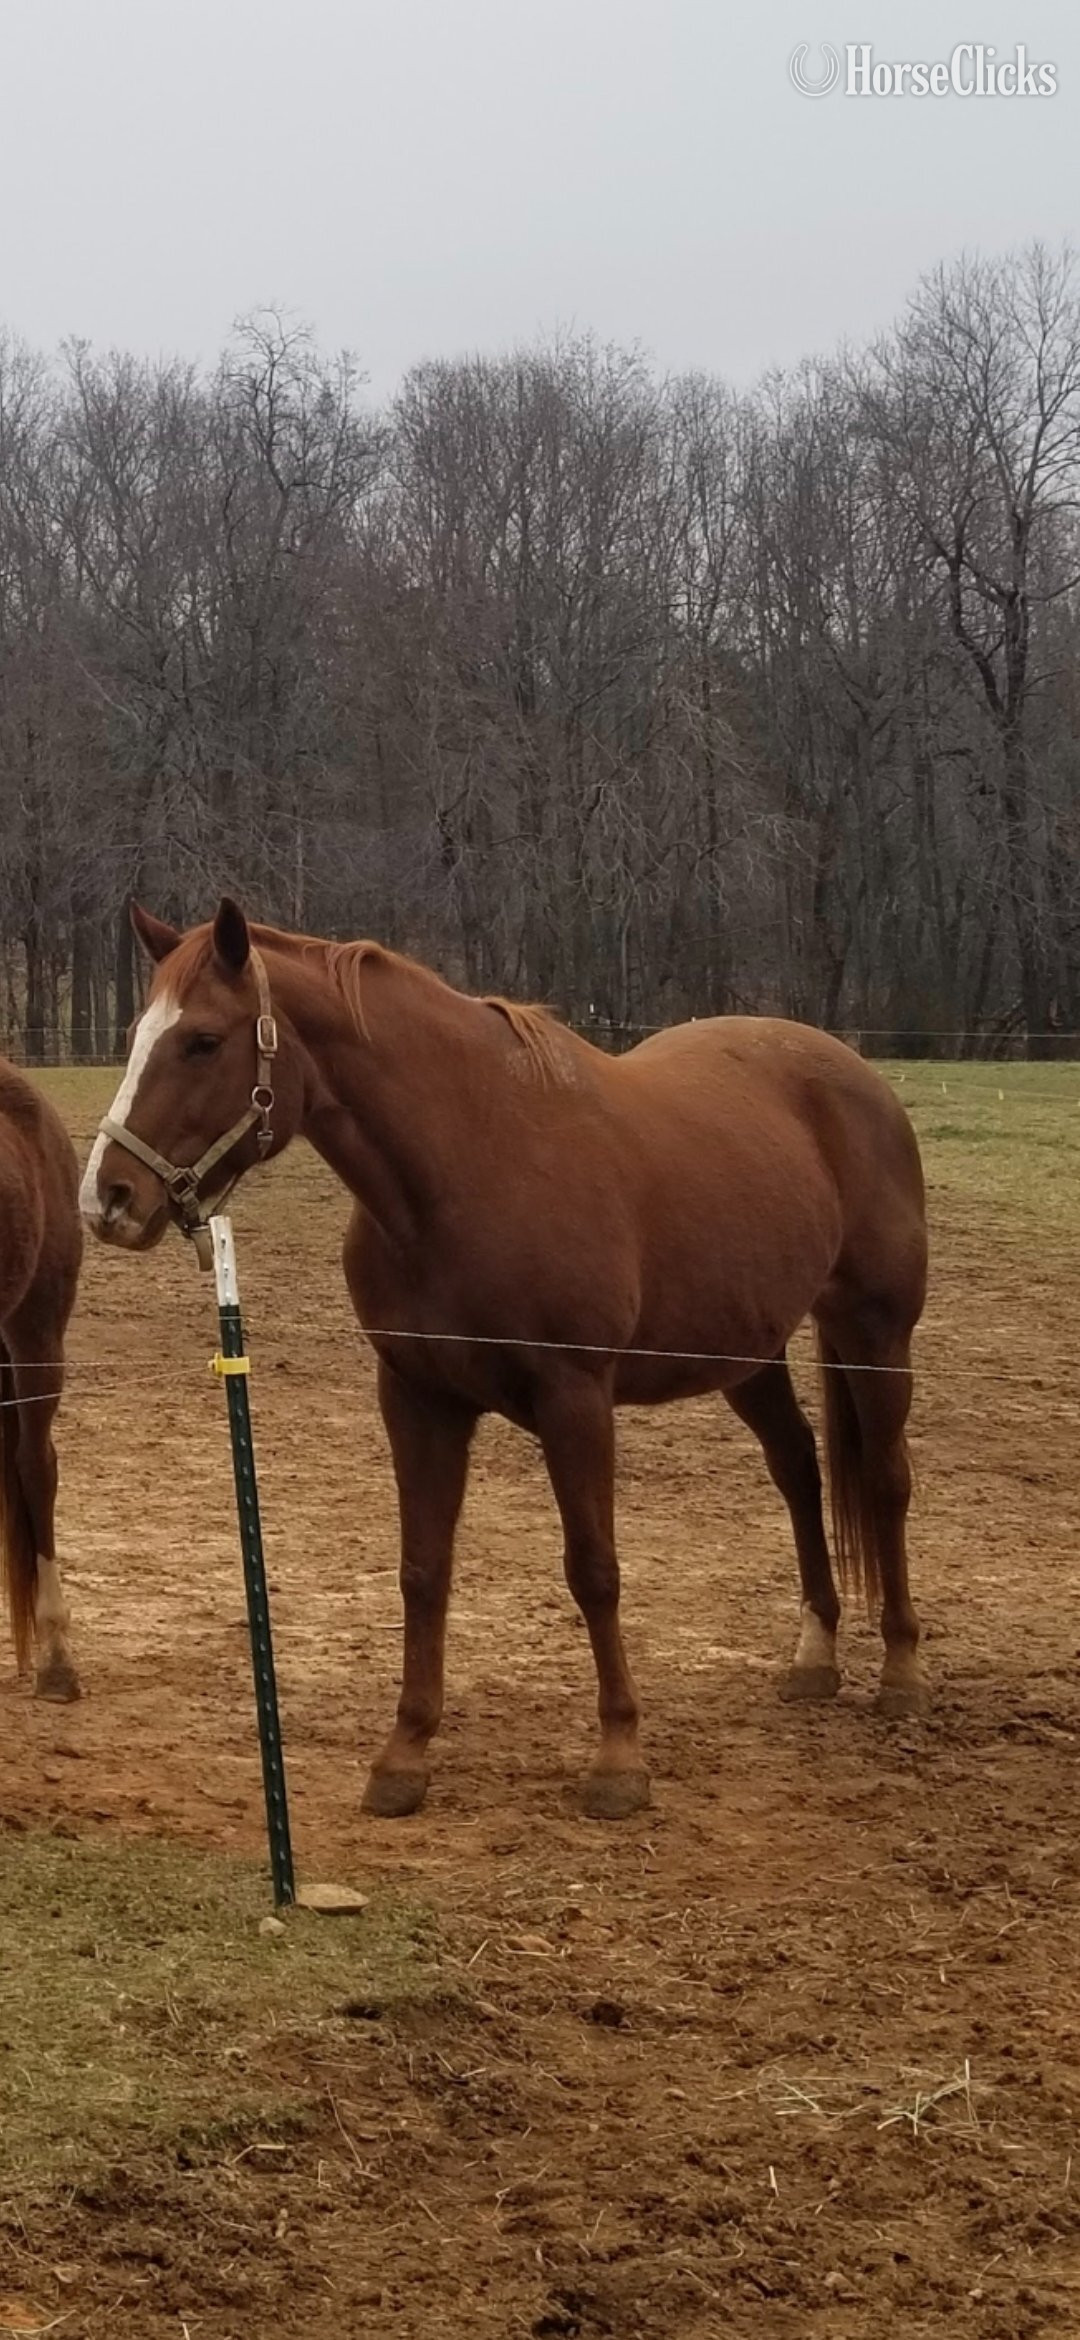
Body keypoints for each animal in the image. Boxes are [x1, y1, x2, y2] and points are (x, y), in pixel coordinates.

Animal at [80, 898, 928, 1819]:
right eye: (135, 1034)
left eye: (202, 1040)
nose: (107, 1198)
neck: (468, 1168)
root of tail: (852, 1072)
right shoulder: (416, 1398)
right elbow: (423, 1569)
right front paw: (404, 1754)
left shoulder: (575, 1399)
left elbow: (594, 1569)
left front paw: (619, 1759)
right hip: (748, 1350)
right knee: (799, 1468)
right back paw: (815, 1654)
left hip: (876, 1336)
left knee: (886, 1481)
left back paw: (902, 1671)